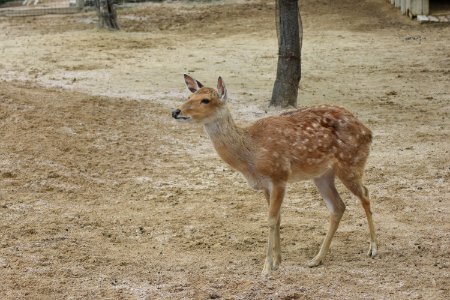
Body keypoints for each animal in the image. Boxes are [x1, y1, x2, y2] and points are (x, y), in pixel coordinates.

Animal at [171, 75, 378, 274]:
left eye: (205, 100)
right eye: (189, 96)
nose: (176, 111)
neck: (251, 155)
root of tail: (368, 132)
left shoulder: (279, 176)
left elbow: (271, 219)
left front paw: (266, 267)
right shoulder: (265, 185)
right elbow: (278, 218)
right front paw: (278, 261)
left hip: (350, 164)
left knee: (365, 194)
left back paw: (373, 248)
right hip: (322, 174)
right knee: (338, 207)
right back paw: (317, 259)